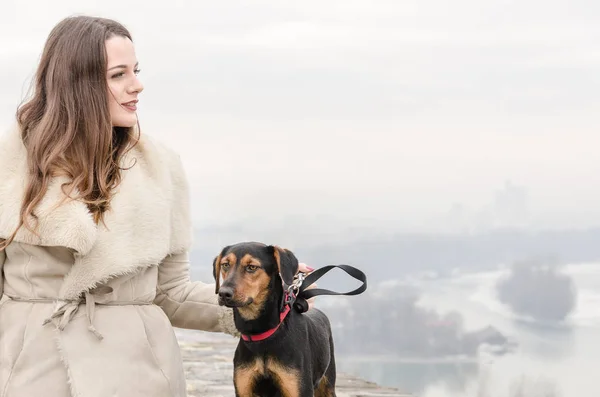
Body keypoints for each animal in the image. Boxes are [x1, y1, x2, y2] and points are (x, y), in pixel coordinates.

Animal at [213, 241, 338, 396]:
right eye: (225, 265)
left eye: (251, 267)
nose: (223, 293)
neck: (261, 332)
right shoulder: (244, 389)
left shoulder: (299, 388)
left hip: (327, 384)